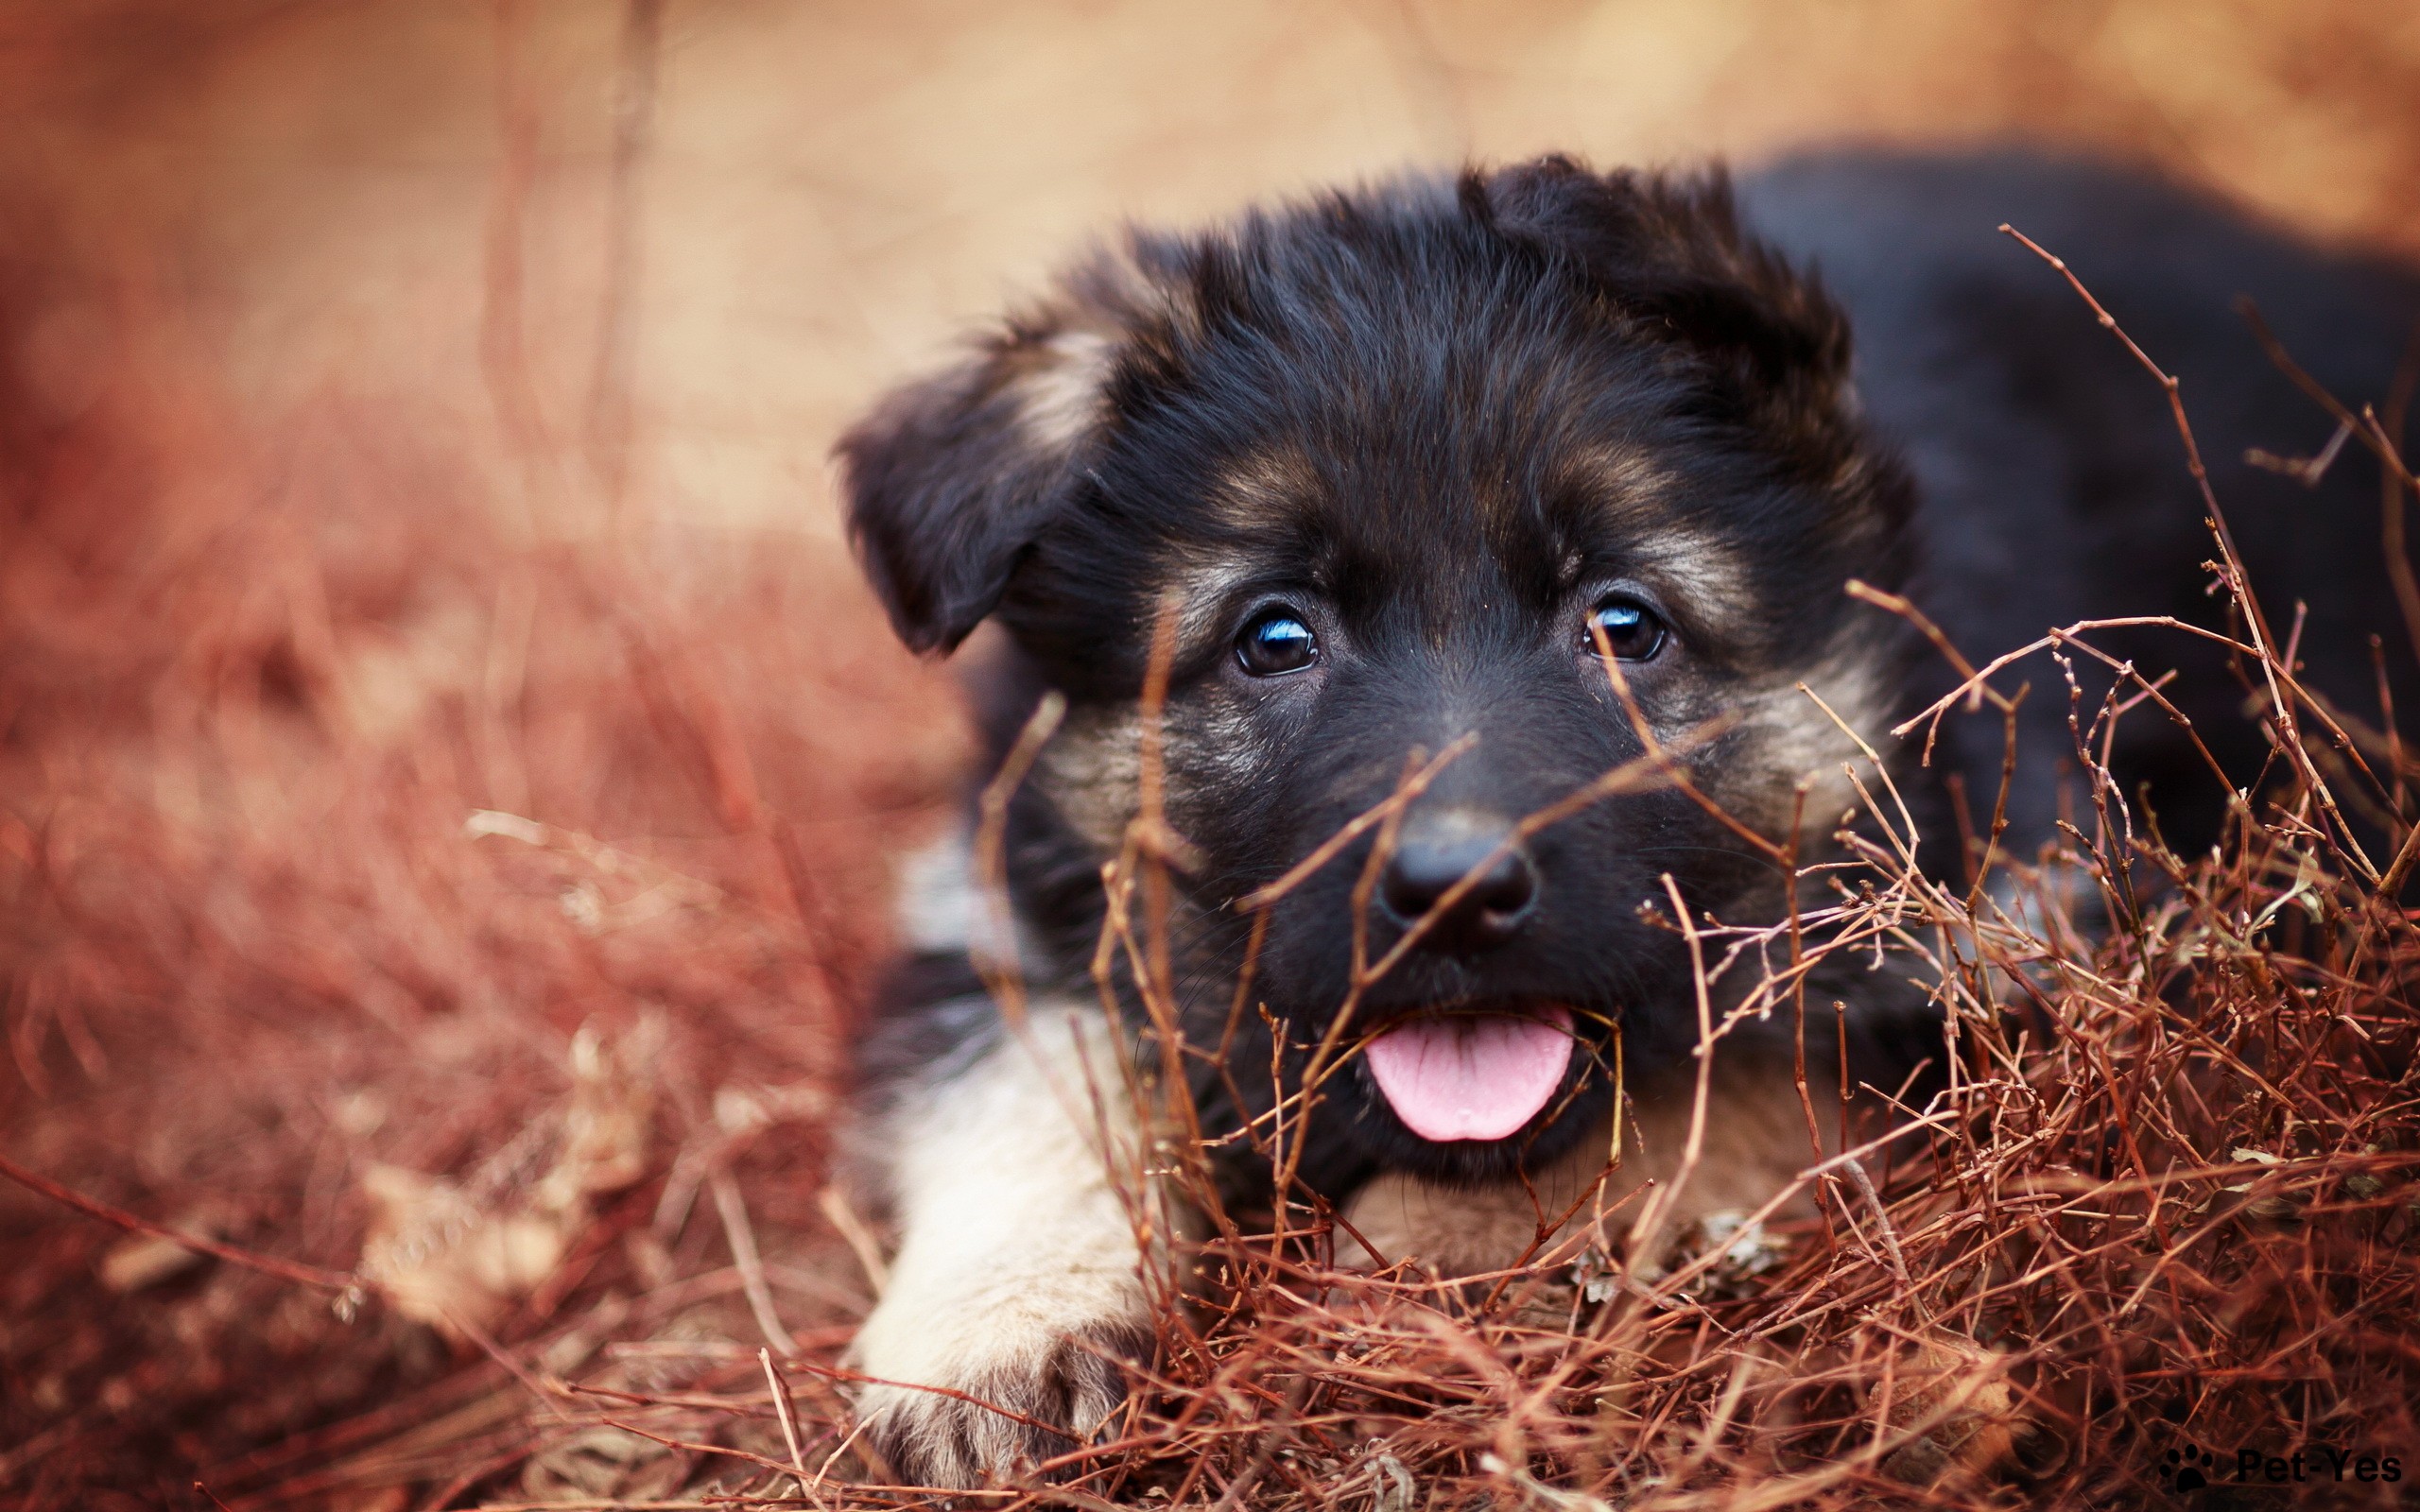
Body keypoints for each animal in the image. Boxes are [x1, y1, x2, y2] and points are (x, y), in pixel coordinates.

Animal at [827, 156, 2420, 1489]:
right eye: (1270, 638)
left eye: (1624, 623)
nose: (1454, 890)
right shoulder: (996, 905)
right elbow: (1030, 1076)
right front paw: (997, 1336)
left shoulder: (1978, 955)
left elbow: (1671, 1104)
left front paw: (1386, 1287)